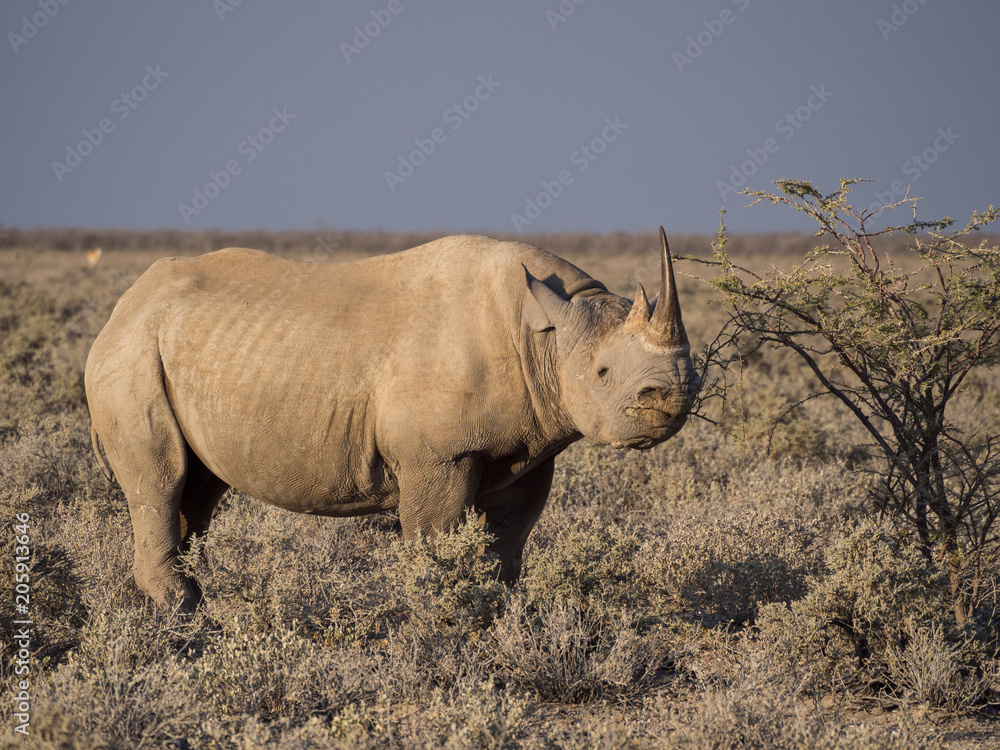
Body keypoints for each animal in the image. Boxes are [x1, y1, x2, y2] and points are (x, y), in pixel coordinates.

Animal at [85, 228, 700, 610]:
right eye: (601, 372)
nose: (672, 398)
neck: (545, 335)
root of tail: (123, 304)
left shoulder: (531, 447)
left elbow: (507, 541)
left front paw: (497, 612)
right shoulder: (440, 454)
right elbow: (434, 539)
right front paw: (439, 610)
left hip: (179, 349)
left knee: (199, 487)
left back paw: (199, 603)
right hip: (132, 351)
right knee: (163, 476)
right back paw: (188, 616)